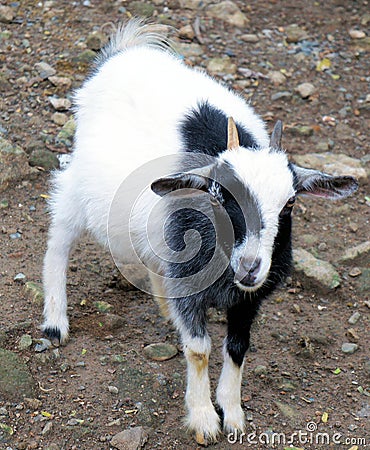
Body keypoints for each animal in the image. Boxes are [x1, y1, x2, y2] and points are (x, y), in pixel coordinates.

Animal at [42, 18, 358, 446]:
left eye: (290, 203)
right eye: (220, 195)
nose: (250, 267)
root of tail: (124, 53)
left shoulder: (249, 298)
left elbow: (237, 347)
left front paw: (233, 412)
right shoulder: (193, 289)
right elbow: (198, 349)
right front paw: (204, 418)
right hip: (78, 187)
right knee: (58, 241)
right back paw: (55, 320)